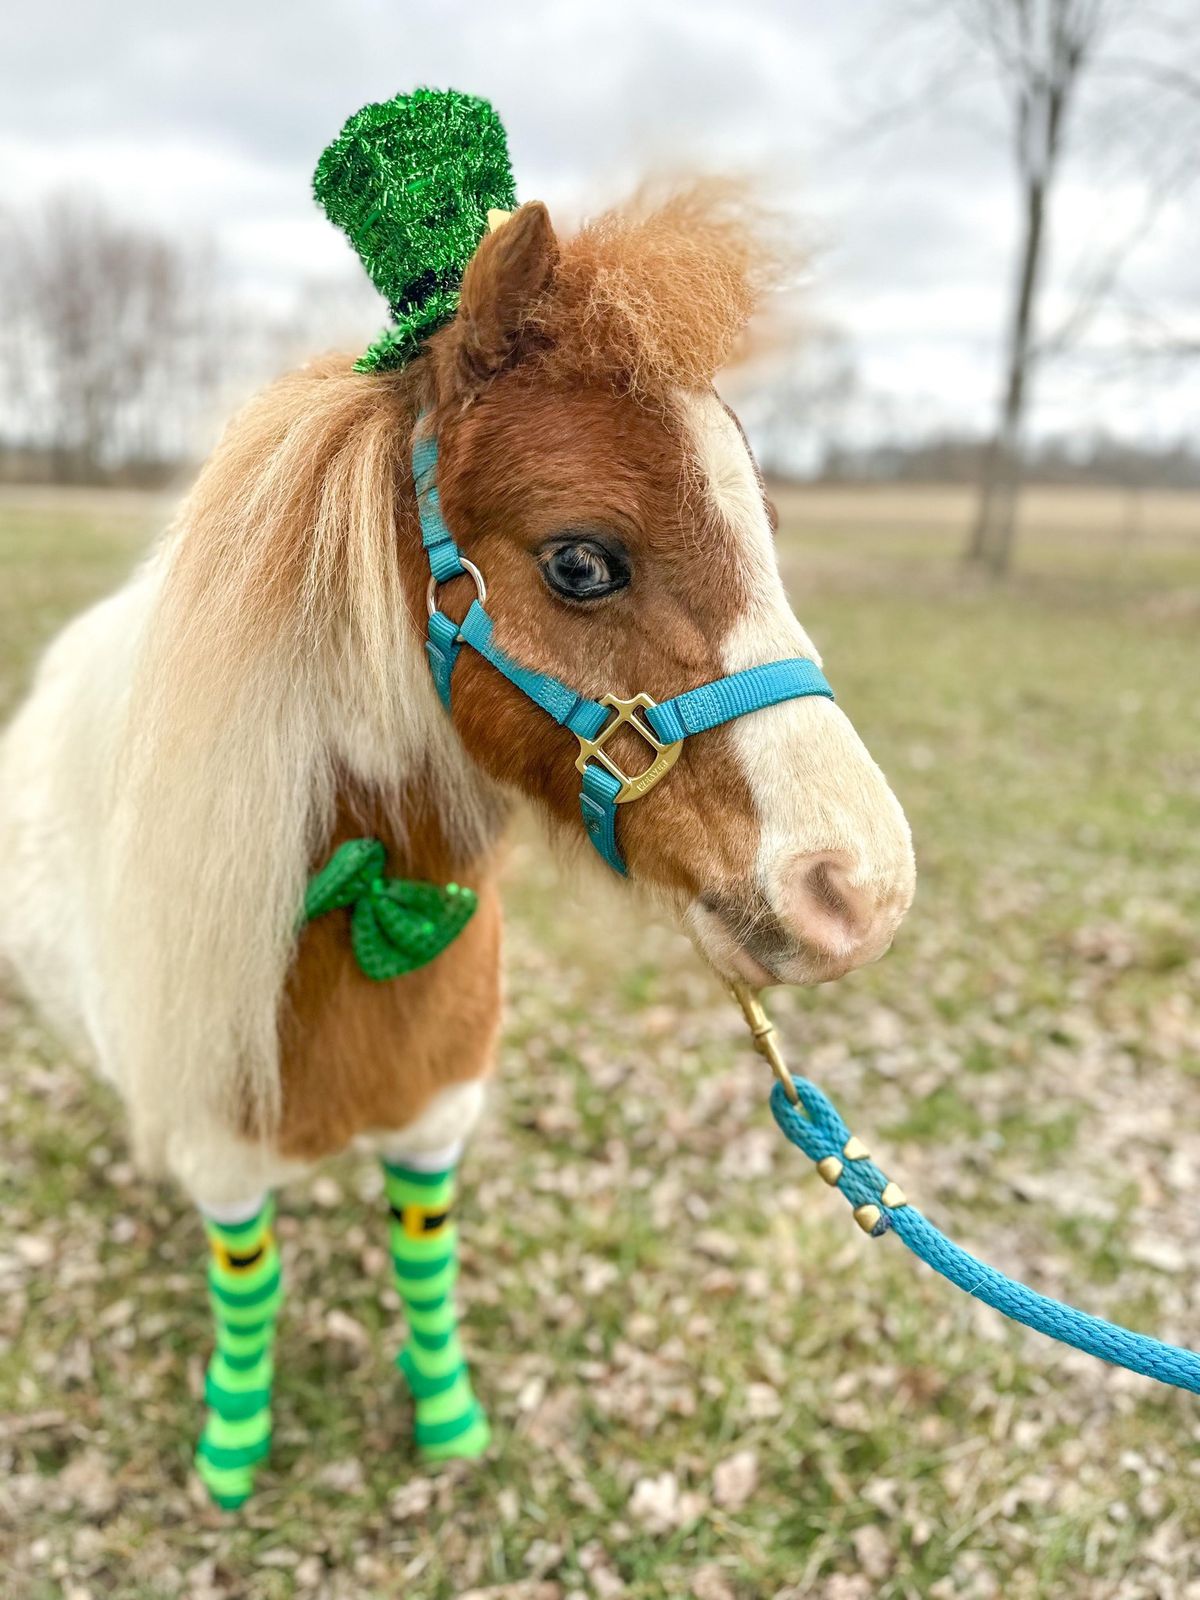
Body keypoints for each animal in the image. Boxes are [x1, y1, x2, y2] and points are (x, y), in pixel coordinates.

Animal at [0, 187, 915, 1497]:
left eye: (767, 532)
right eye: (582, 560)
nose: (862, 888)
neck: (363, 907)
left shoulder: (436, 1126)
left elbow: (423, 1266)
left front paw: (447, 1423)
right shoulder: (226, 1163)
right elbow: (250, 1291)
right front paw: (233, 1452)